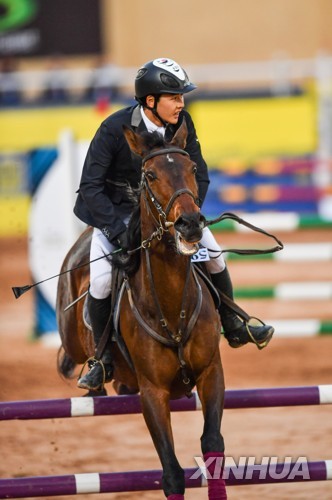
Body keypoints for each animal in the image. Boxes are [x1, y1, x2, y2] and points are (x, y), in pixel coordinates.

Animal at [56, 119, 228, 498]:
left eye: (192, 169)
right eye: (149, 175)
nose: (189, 223)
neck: (171, 307)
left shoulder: (211, 374)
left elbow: (213, 445)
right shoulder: (152, 393)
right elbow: (172, 472)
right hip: (73, 339)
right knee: (70, 356)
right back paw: (92, 375)